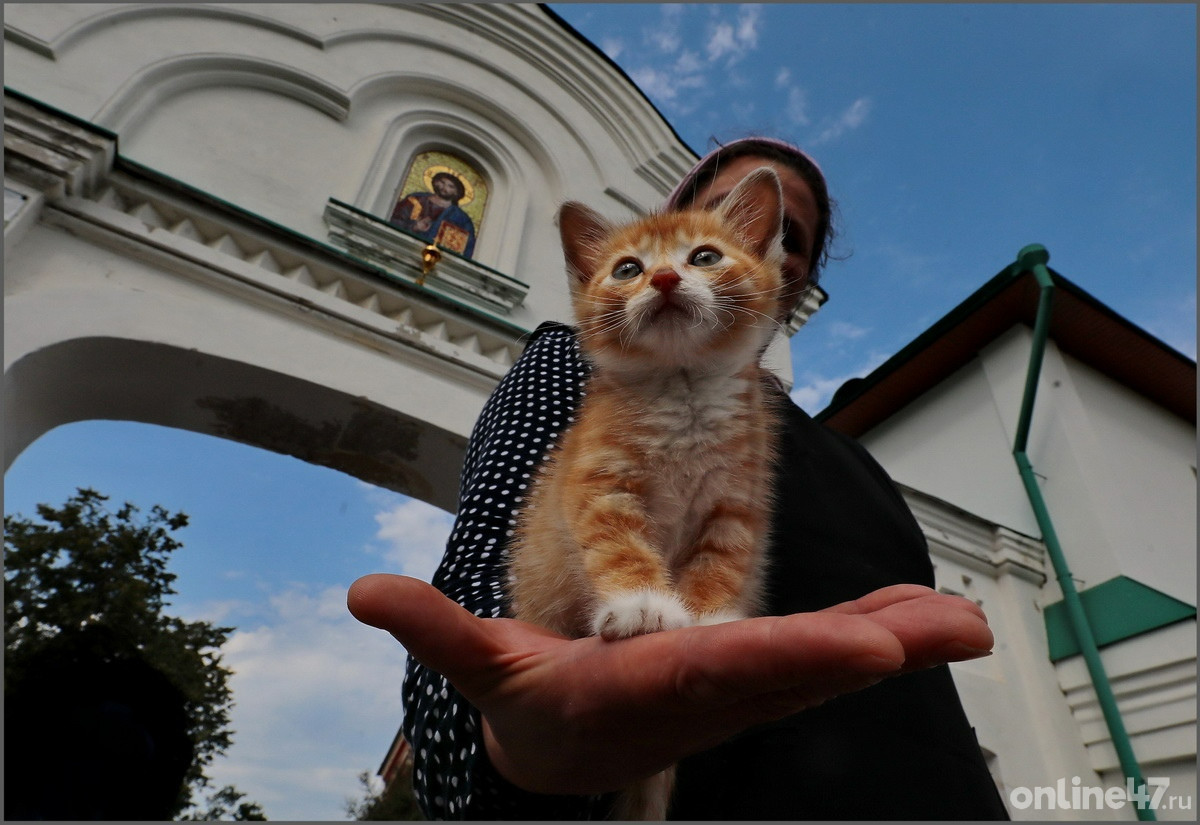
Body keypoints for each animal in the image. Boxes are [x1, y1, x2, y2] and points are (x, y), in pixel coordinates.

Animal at [506, 167, 787, 820]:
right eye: (628, 268)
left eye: (704, 256)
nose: (662, 277)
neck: (682, 391)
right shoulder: (601, 485)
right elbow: (619, 547)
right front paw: (642, 605)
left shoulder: (736, 503)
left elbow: (719, 562)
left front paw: (707, 619)